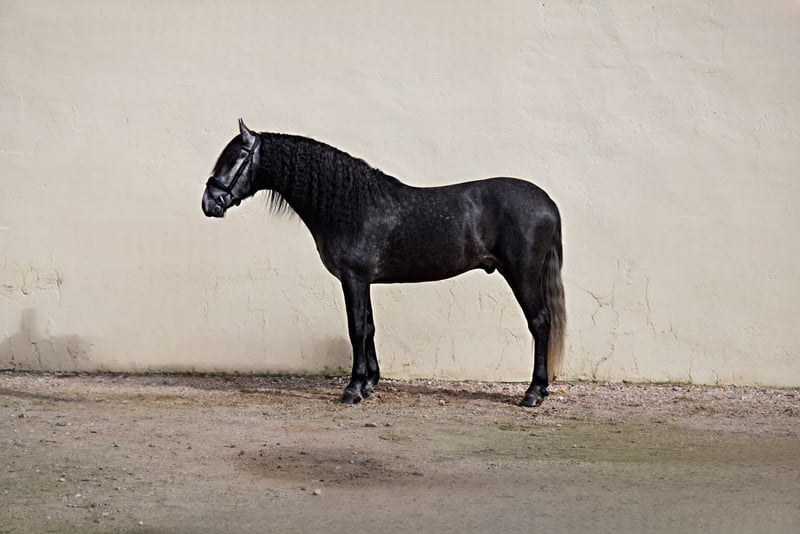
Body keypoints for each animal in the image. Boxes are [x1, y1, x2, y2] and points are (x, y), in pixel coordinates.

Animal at [202, 120, 566, 407]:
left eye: (236, 159)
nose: (209, 202)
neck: (351, 206)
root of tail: (547, 201)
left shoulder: (353, 278)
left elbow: (357, 328)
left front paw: (353, 389)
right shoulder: (363, 280)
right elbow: (369, 326)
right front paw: (369, 384)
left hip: (522, 274)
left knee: (540, 322)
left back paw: (534, 392)